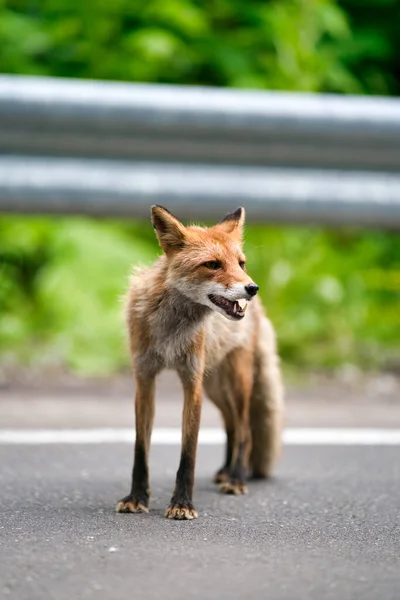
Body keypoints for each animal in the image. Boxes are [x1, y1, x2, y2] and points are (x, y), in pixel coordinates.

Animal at [115, 206, 284, 520]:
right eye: (213, 264)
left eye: (241, 263)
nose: (252, 287)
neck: (170, 332)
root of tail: (260, 311)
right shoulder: (144, 379)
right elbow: (140, 448)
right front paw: (137, 498)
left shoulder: (191, 382)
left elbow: (188, 452)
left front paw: (182, 504)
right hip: (215, 387)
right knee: (231, 426)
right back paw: (226, 471)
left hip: (236, 381)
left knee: (244, 431)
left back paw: (236, 479)